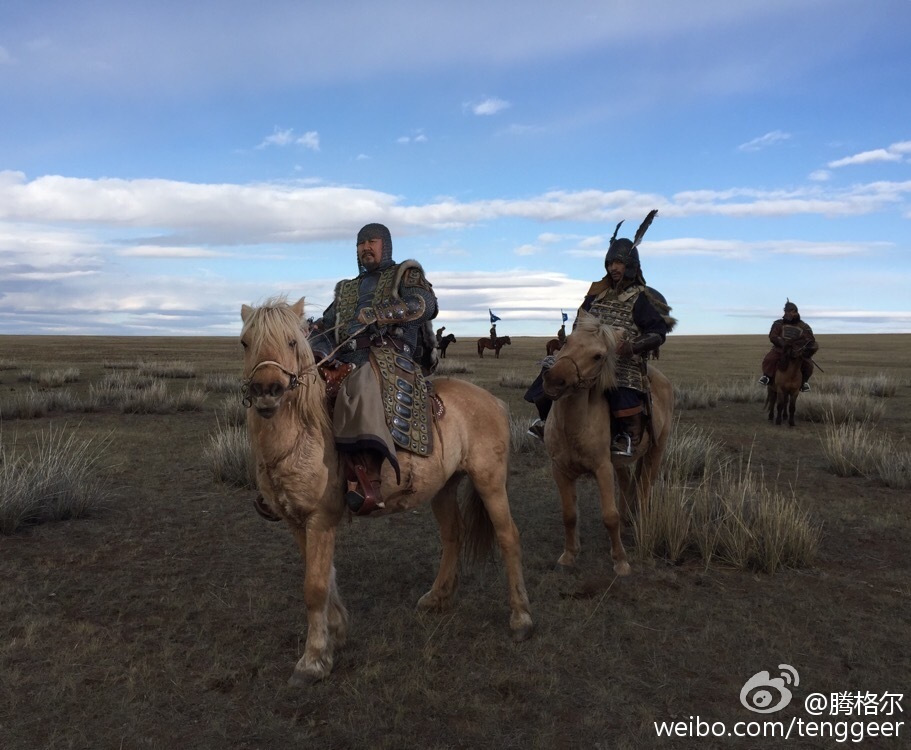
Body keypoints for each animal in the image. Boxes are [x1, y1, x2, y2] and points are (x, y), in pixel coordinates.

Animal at [240, 297, 533, 684]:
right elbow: (324, 576)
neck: (301, 433)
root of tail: (494, 401)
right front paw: (336, 633)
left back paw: (521, 618)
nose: (267, 391)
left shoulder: (320, 518)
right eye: (245, 343)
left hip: (490, 480)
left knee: (509, 536)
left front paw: (313, 660)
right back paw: (437, 597)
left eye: (291, 341)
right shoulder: (295, 520)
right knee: (453, 535)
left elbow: (314, 586)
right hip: (444, 487)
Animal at [541, 311, 674, 575]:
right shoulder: (560, 469)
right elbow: (569, 514)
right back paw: (626, 521)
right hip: (621, 462)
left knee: (644, 488)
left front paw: (620, 561)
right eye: (566, 341)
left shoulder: (602, 468)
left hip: (656, 450)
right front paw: (569, 555)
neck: (573, 427)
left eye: (598, 356)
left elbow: (609, 516)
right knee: (626, 483)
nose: (554, 380)